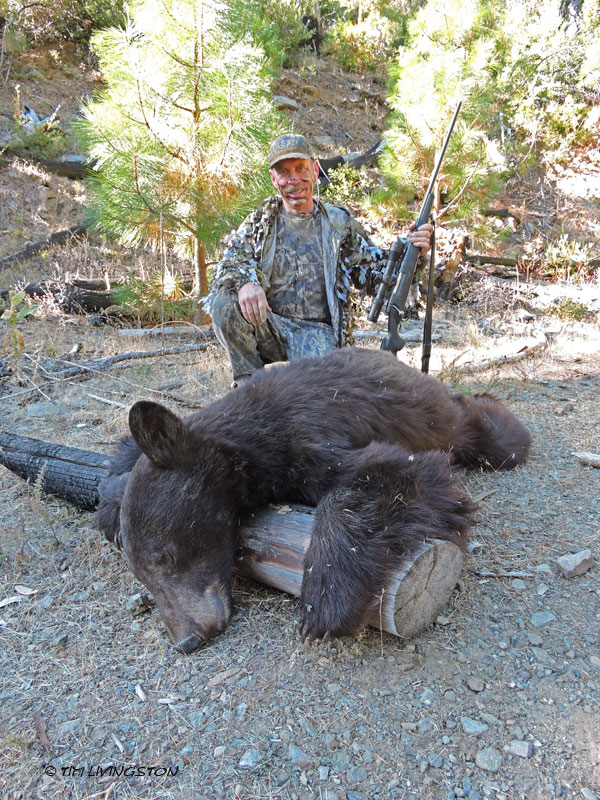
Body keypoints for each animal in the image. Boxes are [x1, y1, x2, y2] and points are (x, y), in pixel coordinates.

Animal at [96, 347, 531, 652]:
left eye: (165, 557)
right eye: (141, 572)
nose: (186, 640)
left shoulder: (308, 438)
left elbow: (394, 470)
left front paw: (325, 603)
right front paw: (110, 504)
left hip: (448, 421)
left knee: (487, 434)